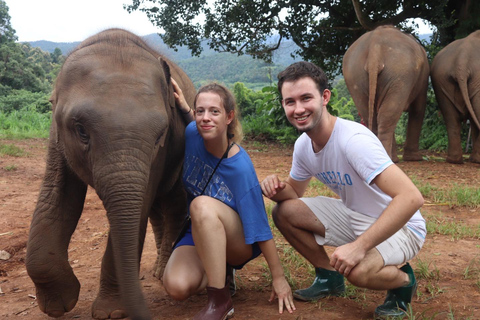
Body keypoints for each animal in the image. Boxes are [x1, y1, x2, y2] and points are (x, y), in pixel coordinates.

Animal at [24, 28, 196, 318]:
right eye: (81, 130)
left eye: (160, 135)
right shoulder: (57, 137)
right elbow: (58, 198)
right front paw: (58, 304)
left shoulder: (159, 154)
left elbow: (136, 209)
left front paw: (110, 312)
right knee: (157, 211)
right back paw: (157, 271)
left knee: (173, 204)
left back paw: (162, 273)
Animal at [344, 24, 430, 162]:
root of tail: (375, 47)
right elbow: (418, 109)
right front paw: (415, 158)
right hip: (400, 74)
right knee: (388, 114)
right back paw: (389, 159)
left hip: (355, 75)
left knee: (372, 115)